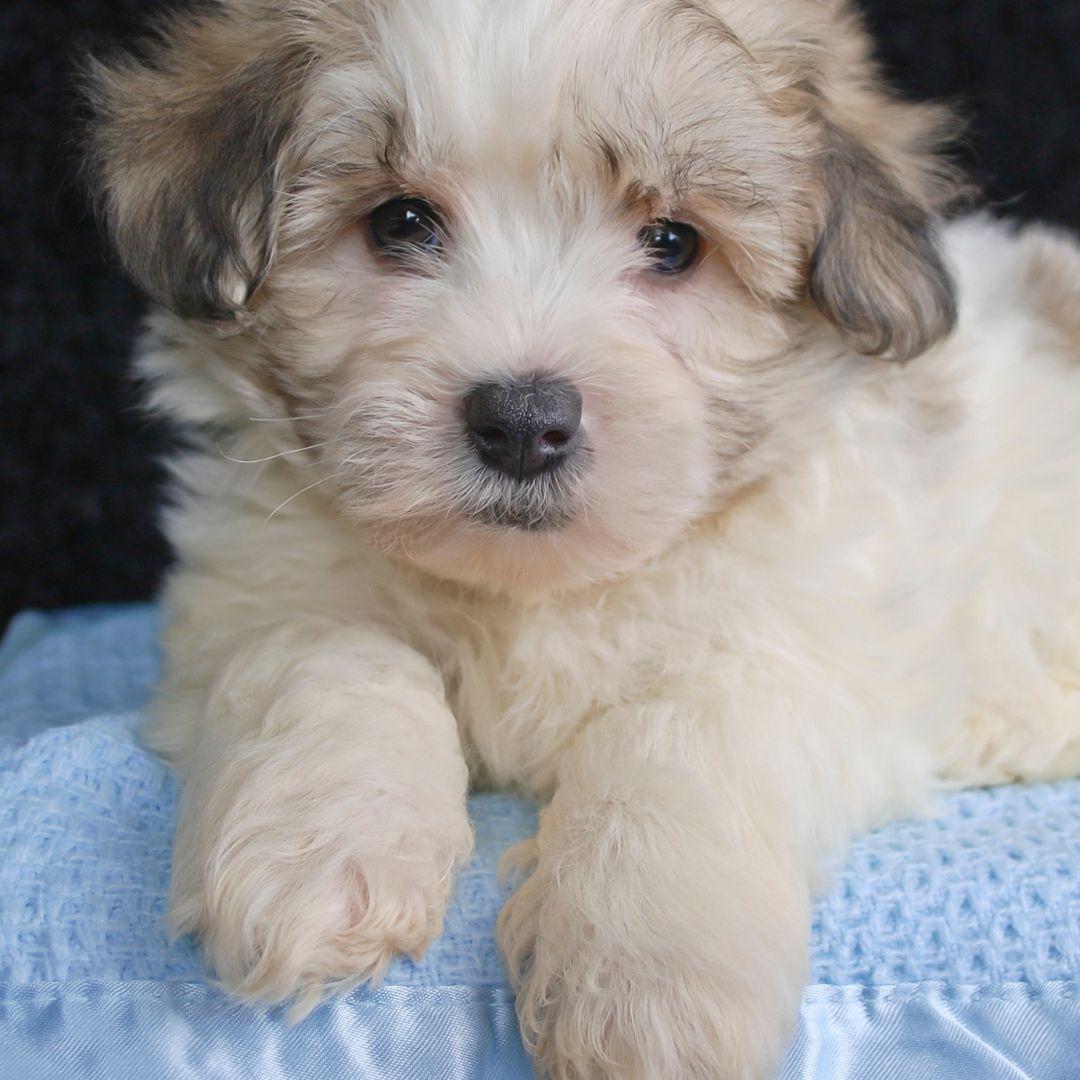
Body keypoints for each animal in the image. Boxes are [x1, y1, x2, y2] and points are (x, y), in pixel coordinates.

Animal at [86, 0, 1080, 1075]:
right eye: (400, 223)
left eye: (674, 242)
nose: (523, 421)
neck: (535, 589)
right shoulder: (260, 584)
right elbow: (330, 658)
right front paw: (317, 859)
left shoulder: (801, 645)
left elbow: (673, 738)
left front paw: (647, 985)